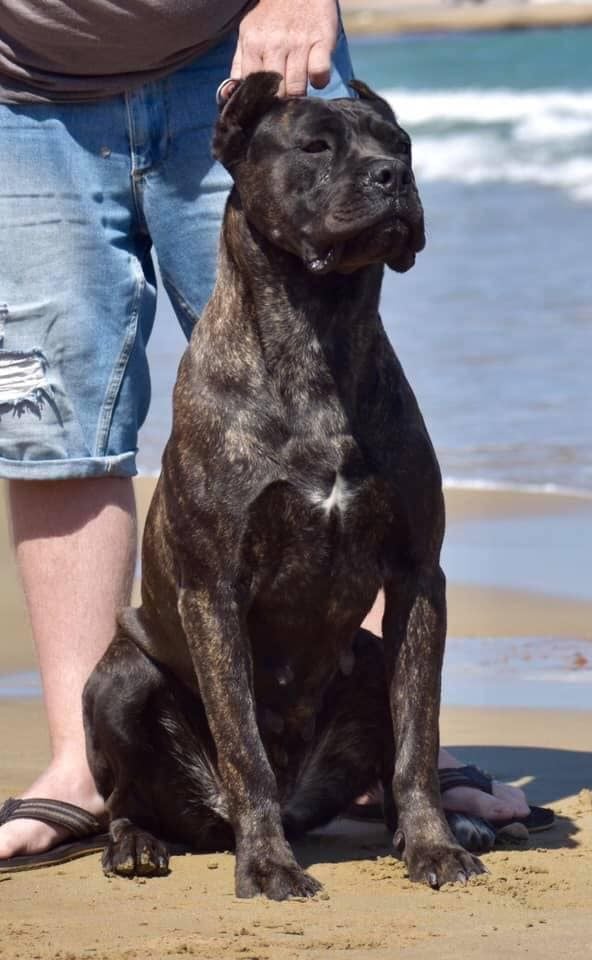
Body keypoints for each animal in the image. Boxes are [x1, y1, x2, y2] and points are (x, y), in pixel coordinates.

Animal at [83, 72, 485, 900]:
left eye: (401, 144)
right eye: (315, 146)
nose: (394, 179)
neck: (317, 334)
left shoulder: (417, 576)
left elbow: (419, 736)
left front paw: (433, 846)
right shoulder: (213, 595)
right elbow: (244, 748)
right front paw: (267, 864)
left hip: (368, 659)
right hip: (120, 680)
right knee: (124, 797)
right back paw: (136, 843)